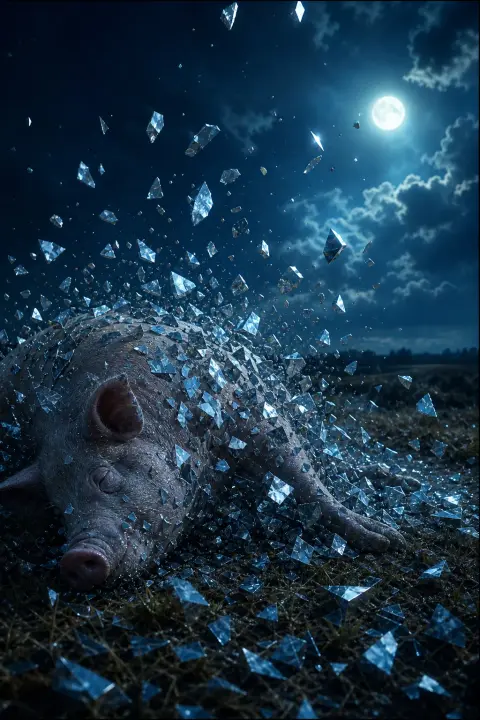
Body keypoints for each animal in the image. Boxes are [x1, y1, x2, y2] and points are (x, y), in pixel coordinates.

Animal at [0, 308, 406, 591]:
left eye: (105, 478)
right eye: (59, 509)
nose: (74, 558)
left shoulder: (252, 411)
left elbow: (304, 479)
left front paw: (388, 541)